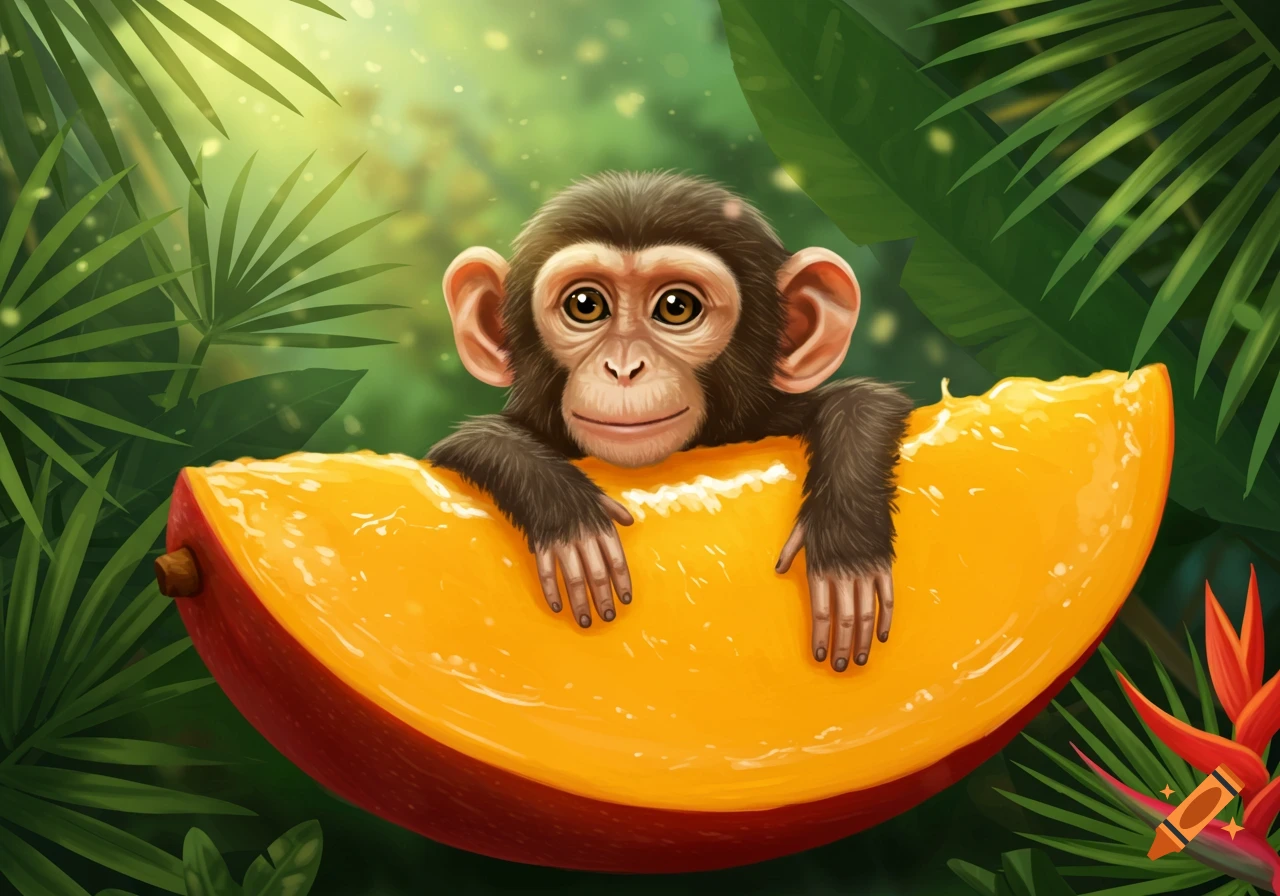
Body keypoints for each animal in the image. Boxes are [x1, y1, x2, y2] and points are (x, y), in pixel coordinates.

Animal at [427, 171, 914, 673]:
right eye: (585, 304)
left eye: (676, 307)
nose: (623, 367)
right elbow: (469, 443)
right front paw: (568, 519)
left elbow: (860, 402)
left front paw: (847, 547)